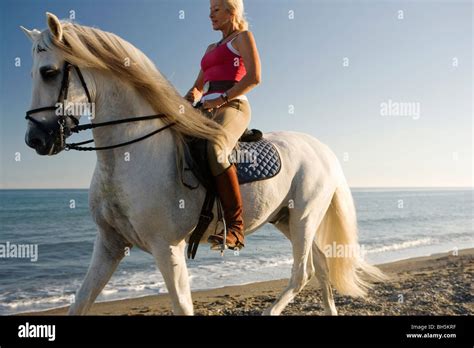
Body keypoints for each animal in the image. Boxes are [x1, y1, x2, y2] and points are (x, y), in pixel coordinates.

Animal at [23, 13, 386, 316]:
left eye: (48, 72)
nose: (35, 140)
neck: (129, 154)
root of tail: (322, 149)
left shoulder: (168, 248)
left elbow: (182, 307)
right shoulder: (110, 244)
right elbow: (80, 303)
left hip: (304, 217)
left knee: (303, 272)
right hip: (284, 218)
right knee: (322, 265)